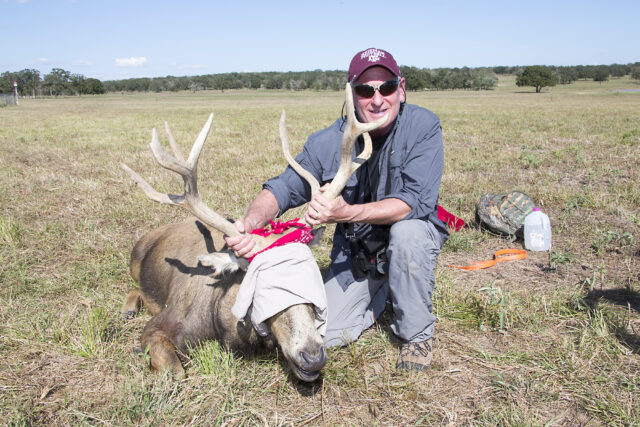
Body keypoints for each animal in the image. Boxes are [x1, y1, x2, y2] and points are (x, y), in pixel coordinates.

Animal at [121, 85, 384, 382]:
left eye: (312, 278)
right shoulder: (161, 322)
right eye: (264, 289)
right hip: (135, 260)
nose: (313, 356)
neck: (220, 322)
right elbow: (174, 372)